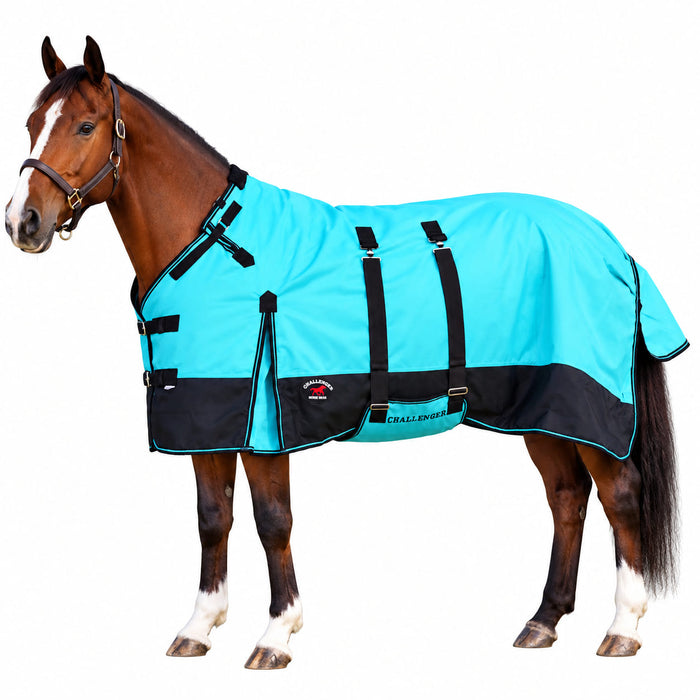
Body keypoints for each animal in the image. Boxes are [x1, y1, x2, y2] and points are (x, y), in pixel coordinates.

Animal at [4, 36, 686, 669]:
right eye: (33, 124)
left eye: (86, 125)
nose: (23, 223)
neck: (210, 243)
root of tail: (610, 245)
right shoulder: (204, 412)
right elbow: (212, 518)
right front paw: (199, 627)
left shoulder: (264, 421)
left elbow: (272, 520)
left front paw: (276, 635)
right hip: (540, 406)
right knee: (568, 498)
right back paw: (543, 621)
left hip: (586, 399)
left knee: (621, 493)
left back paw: (622, 629)